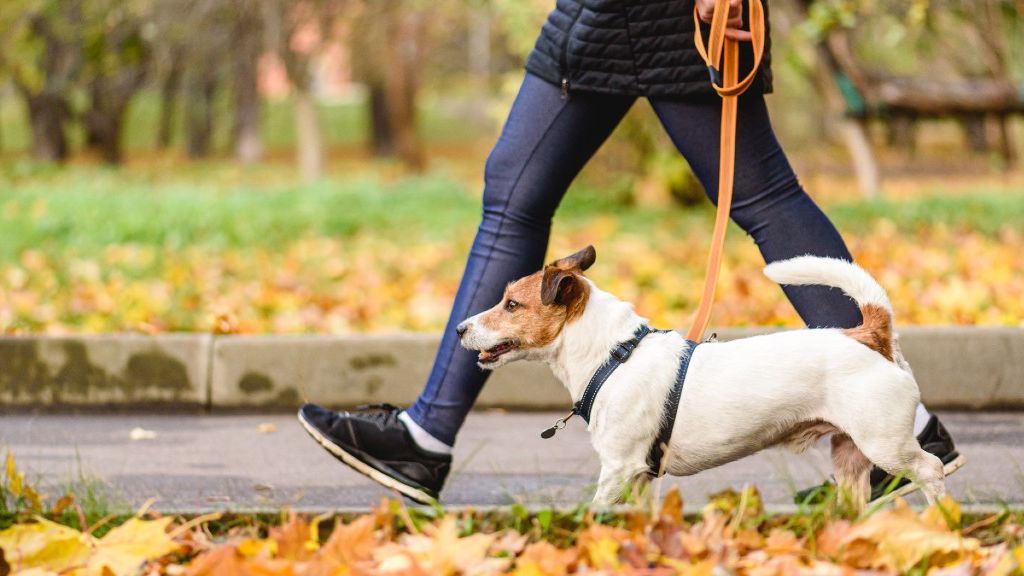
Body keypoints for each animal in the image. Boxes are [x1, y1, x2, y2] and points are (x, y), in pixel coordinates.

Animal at [456, 243, 942, 508]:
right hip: (850, 456)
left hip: (885, 445)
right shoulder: (639, 478)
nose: (459, 328)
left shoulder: (618, 468)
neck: (614, 356)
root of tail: (870, 333)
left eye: (511, 305)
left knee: (931, 469)